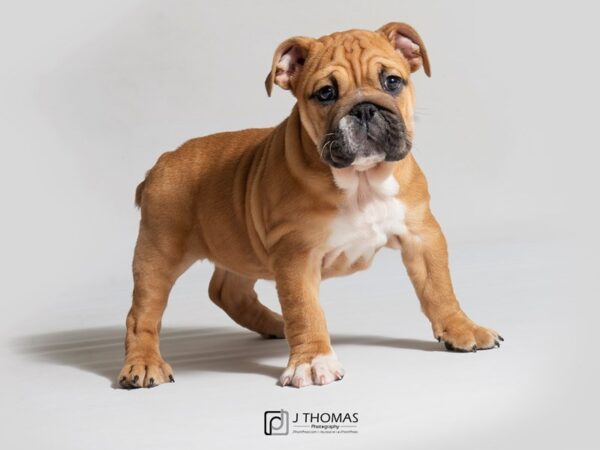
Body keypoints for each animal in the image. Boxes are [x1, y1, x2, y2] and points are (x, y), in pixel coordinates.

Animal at [117, 22, 502, 390]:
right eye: (326, 93)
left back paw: (275, 323)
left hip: (242, 245)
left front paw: (462, 328)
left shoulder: (421, 234)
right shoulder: (296, 255)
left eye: (392, 81)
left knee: (227, 292)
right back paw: (144, 363)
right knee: (142, 314)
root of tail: (159, 164)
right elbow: (305, 310)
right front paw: (313, 361)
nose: (365, 108)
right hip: (159, 252)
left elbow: (439, 288)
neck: (361, 181)